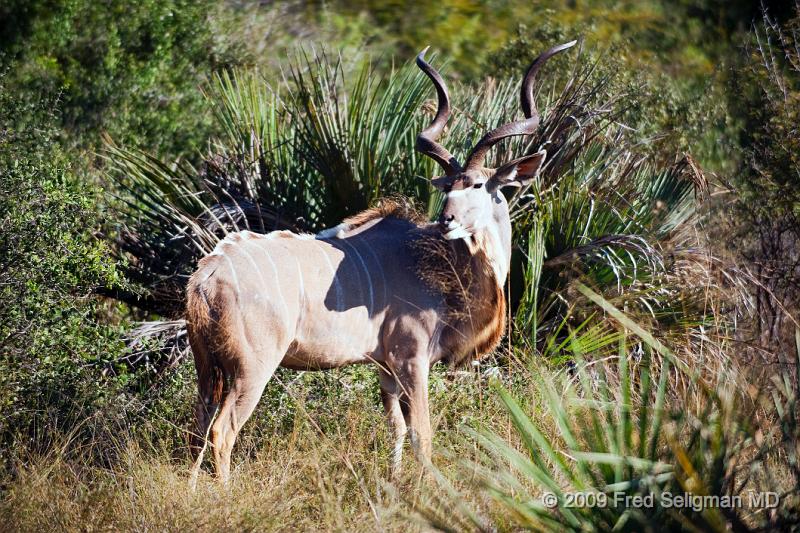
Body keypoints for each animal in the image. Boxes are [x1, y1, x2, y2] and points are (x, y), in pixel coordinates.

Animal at [188, 39, 576, 484]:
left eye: (478, 184)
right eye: (447, 186)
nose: (446, 220)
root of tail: (206, 276)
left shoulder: (385, 369)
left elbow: (397, 428)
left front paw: (394, 482)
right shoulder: (412, 360)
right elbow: (422, 433)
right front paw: (428, 490)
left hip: (207, 368)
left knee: (198, 426)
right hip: (252, 367)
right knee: (222, 430)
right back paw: (224, 491)